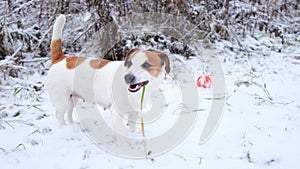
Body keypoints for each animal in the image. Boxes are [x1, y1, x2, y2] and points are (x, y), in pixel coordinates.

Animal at [45, 14, 171, 144]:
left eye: (146, 65)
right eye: (129, 63)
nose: (128, 77)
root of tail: (61, 58)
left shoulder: (134, 112)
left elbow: (131, 126)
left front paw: (134, 136)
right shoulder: (117, 114)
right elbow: (120, 133)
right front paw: (124, 145)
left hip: (73, 98)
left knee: (68, 112)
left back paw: (71, 126)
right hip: (62, 99)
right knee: (59, 115)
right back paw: (63, 128)